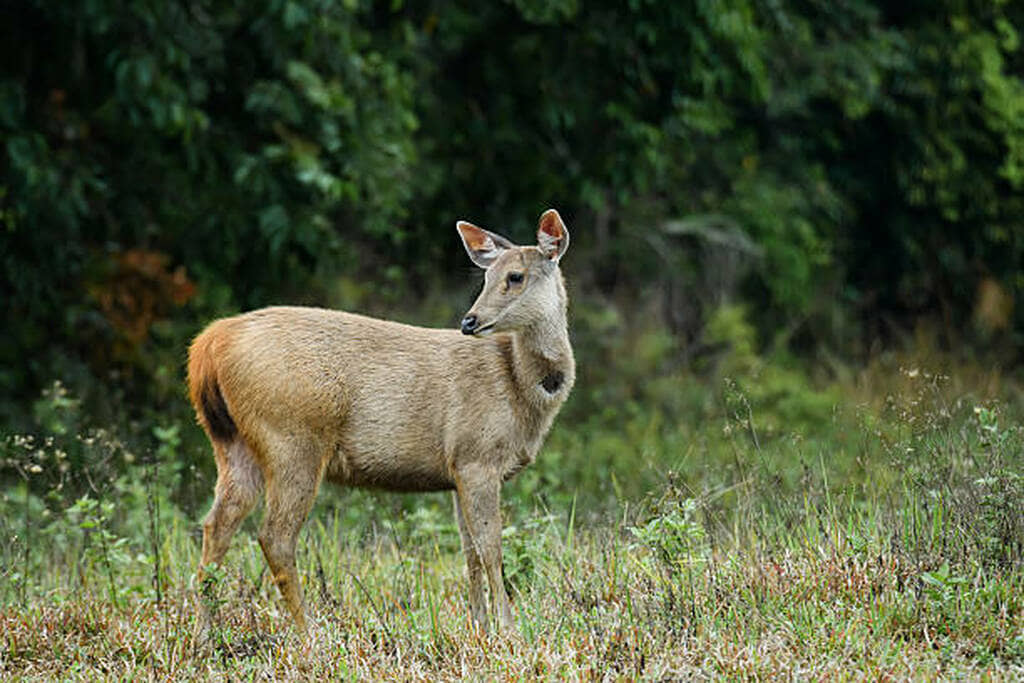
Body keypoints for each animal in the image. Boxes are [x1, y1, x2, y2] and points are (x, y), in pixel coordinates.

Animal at [187, 208, 575, 643]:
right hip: (291, 438)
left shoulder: (457, 467)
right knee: (275, 536)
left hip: (232, 443)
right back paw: (311, 635)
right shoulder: (477, 456)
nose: (469, 321)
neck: (519, 388)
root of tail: (210, 344)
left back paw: (204, 635)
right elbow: (490, 546)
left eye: (515, 276)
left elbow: (469, 550)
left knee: (216, 525)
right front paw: (508, 629)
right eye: (487, 277)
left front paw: (478, 626)